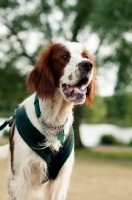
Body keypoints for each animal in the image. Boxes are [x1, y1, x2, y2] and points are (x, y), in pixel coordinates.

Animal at [0, 41, 96, 200]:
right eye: (64, 56)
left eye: (86, 57)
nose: (88, 65)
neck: (53, 120)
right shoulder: (21, 179)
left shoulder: (60, 182)